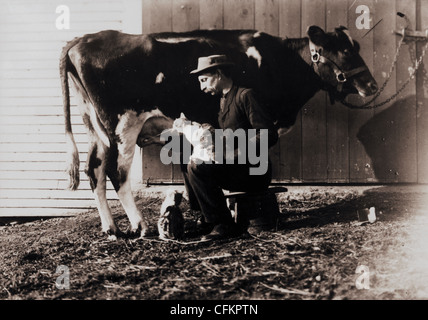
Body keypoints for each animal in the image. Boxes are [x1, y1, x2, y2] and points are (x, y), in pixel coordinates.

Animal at [60, 25, 378, 240]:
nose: (371, 85)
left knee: (94, 170)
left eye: (356, 48)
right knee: (117, 172)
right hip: (123, 126)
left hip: (95, 127)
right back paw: (140, 225)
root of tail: (81, 40)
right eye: (343, 51)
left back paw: (111, 228)